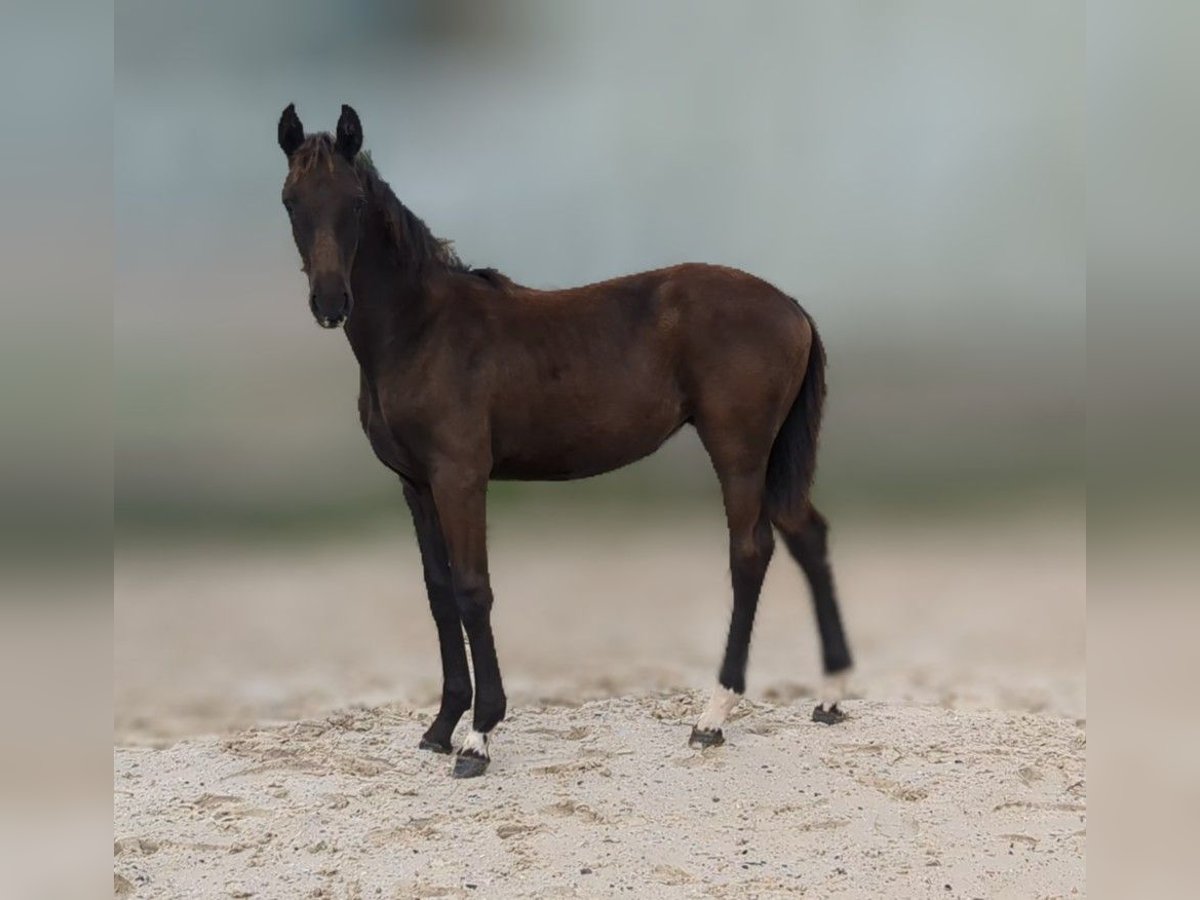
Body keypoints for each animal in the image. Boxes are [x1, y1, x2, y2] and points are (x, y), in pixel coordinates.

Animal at [276, 103, 854, 782]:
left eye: (356, 201)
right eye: (291, 201)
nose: (330, 302)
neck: (421, 330)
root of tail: (792, 305)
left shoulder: (459, 477)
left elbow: (473, 590)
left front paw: (479, 737)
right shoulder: (415, 484)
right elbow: (440, 593)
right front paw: (442, 726)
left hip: (738, 451)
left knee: (750, 551)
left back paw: (712, 716)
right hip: (774, 457)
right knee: (806, 535)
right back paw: (830, 697)